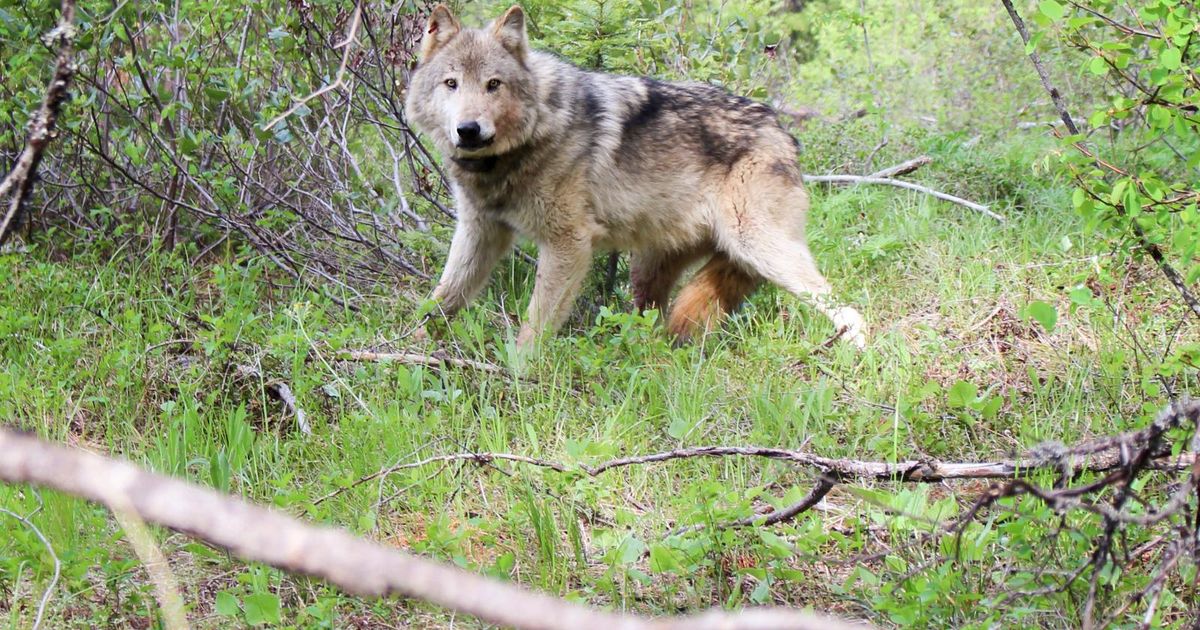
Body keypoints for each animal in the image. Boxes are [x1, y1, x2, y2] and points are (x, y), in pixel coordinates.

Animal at [405, 4, 866, 349]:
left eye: (493, 84)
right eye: (451, 83)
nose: (469, 129)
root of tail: (783, 132)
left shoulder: (568, 245)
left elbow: (533, 329)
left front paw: (520, 376)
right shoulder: (479, 232)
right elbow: (439, 300)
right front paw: (406, 351)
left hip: (760, 249)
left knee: (847, 308)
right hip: (650, 272)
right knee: (654, 325)